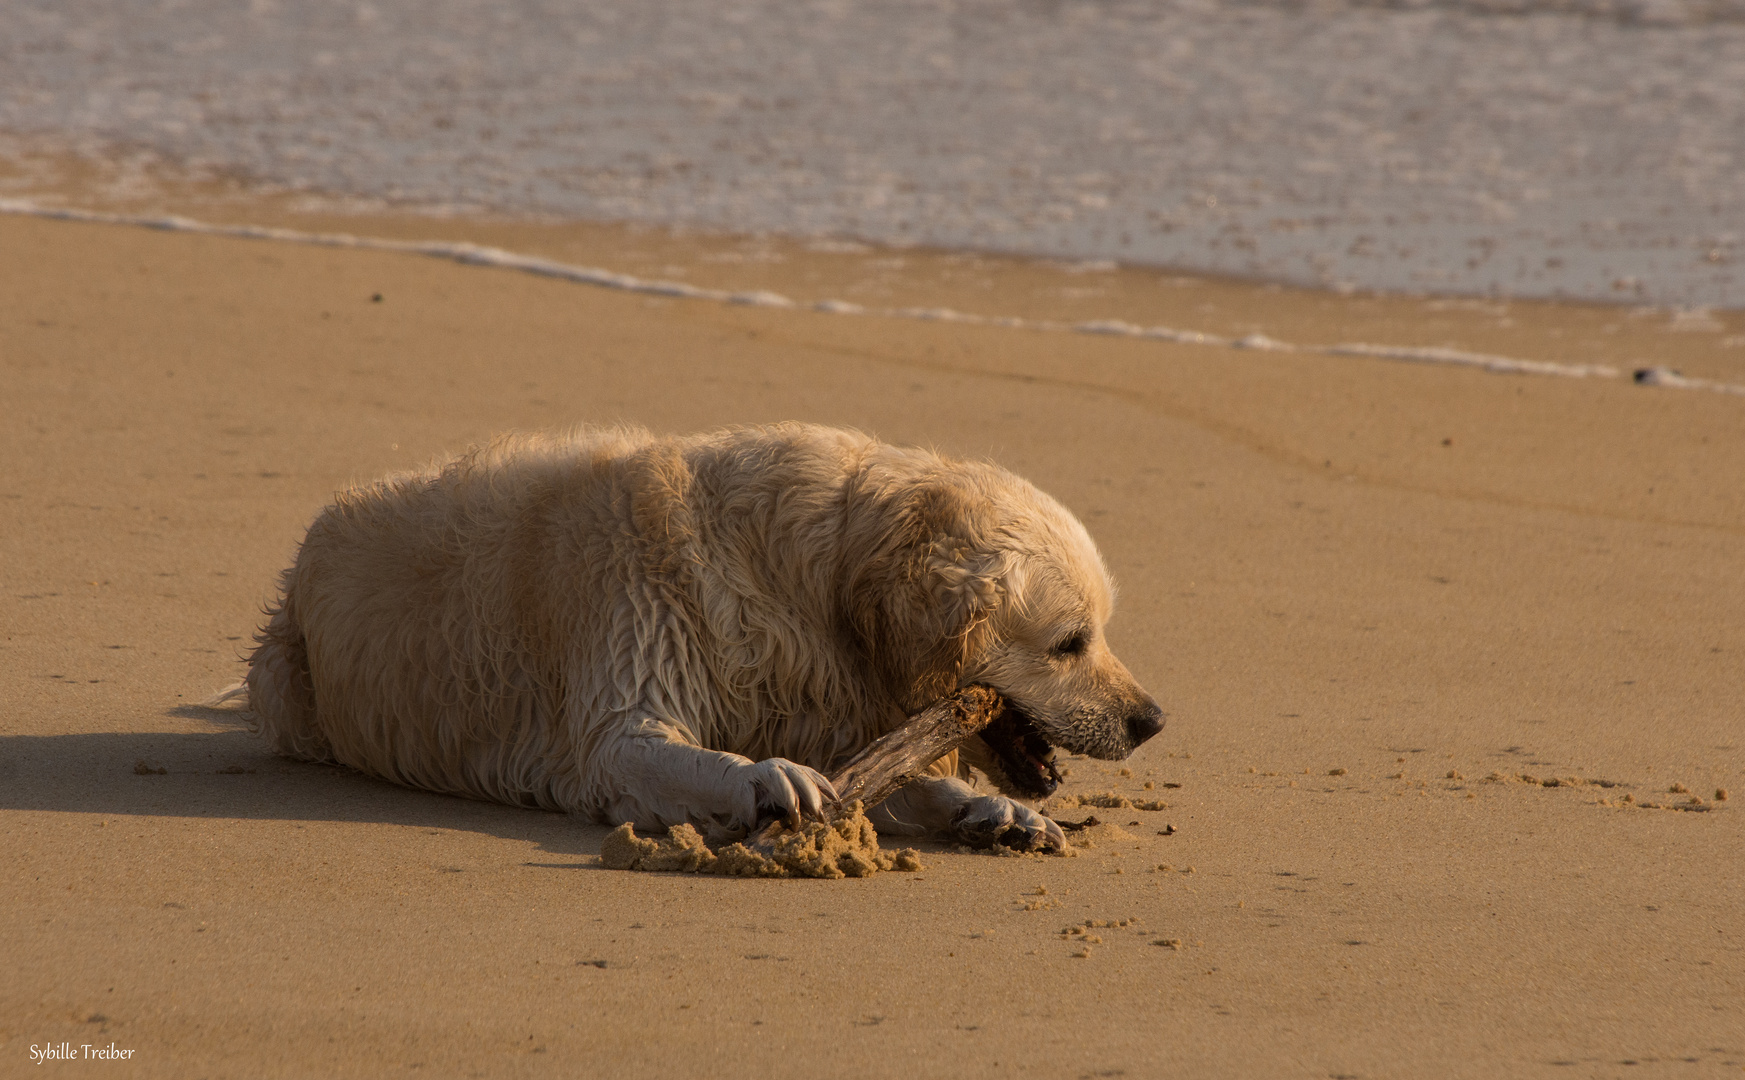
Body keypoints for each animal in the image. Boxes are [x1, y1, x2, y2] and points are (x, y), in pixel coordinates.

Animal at [232, 422, 1158, 854]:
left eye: (1100, 632)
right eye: (1070, 641)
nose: (1152, 721)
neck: (810, 586)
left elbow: (908, 782)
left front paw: (992, 811)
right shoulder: (624, 692)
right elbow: (676, 755)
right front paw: (767, 778)